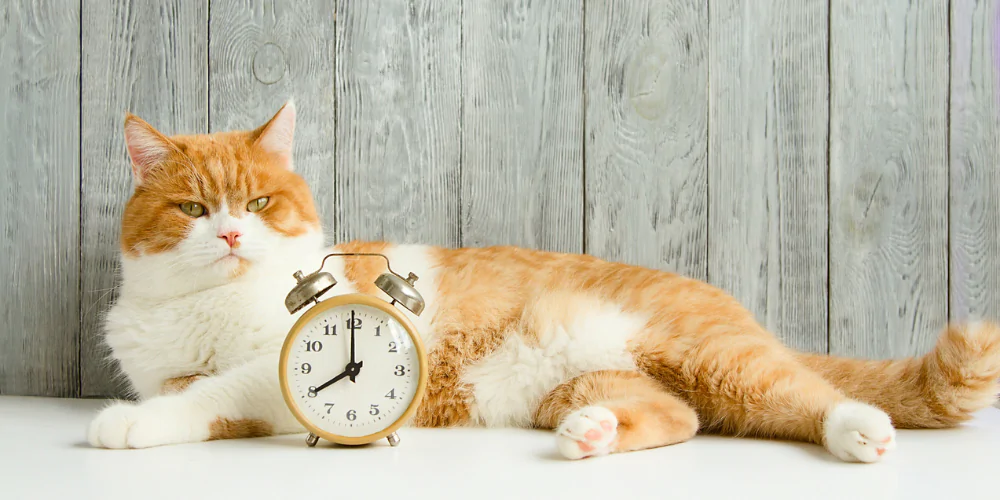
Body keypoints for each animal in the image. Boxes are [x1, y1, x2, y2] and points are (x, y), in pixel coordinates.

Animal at [86, 99, 1000, 462]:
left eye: (260, 201)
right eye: (193, 207)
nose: (232, 233)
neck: (204, 305)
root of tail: (736, 309)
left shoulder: (269, 378)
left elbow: (212, 394)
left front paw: (129, 424)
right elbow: (188, 392)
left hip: (719, 358)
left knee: (810, 396)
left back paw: (860, 431)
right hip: (599, 379)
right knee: (677, 417)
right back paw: (592, 435)